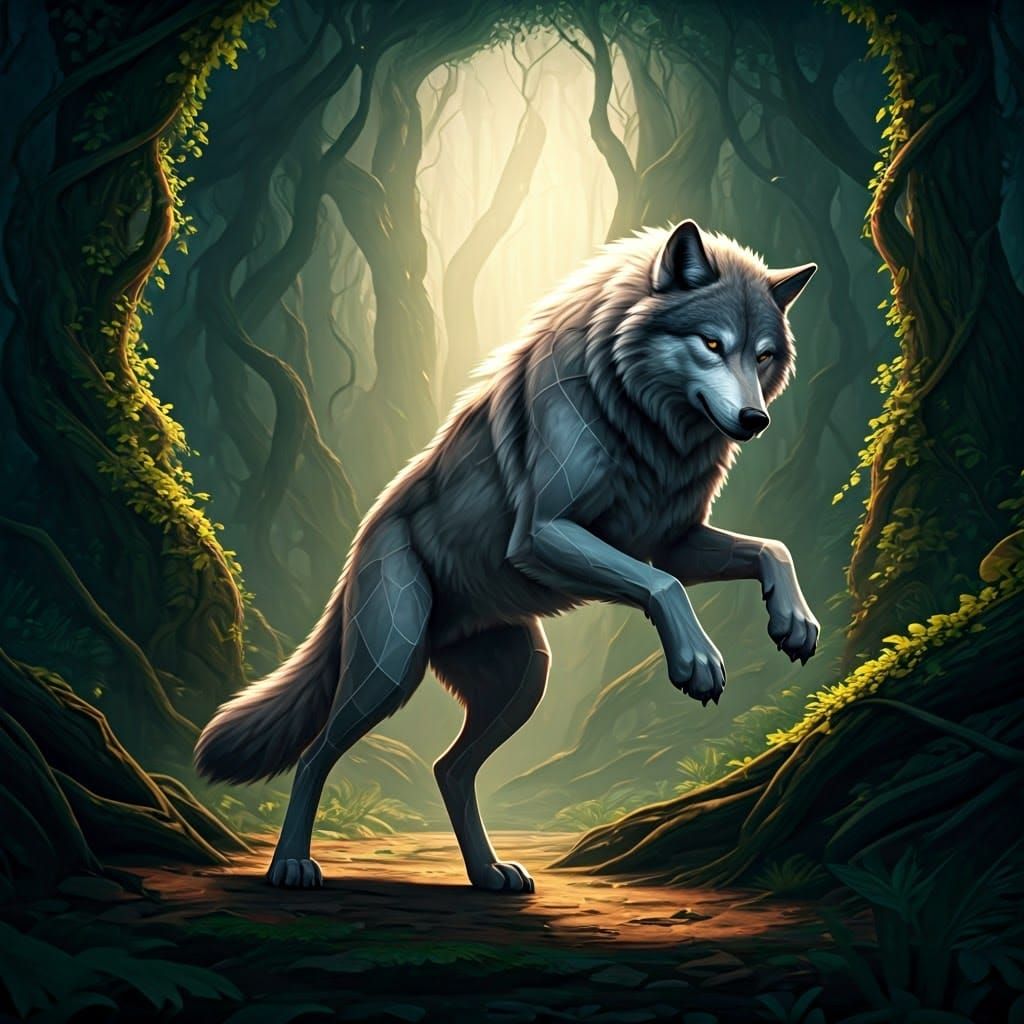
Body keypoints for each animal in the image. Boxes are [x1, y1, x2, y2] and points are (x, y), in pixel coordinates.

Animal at [195, 220, 820, 894]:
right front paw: (697, 660)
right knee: (316, 755)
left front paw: (794, 622)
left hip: (525, 678)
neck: (636, 415)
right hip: (390, 666)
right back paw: (289, 864)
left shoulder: (671, 541)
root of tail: (359, 542)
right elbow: (663, 587)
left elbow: (773, 547)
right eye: (711, 343)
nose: (755, 419)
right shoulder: (546, 533)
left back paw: (488, 872)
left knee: (450, 769)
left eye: (763, 354)